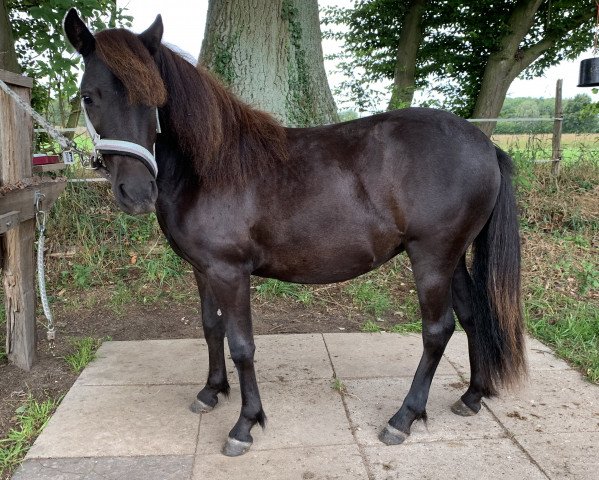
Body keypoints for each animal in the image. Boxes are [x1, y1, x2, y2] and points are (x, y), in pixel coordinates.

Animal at [63, 9, 528, 456]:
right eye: (88, 96)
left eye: (155, 98)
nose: (137, 193)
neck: (211, 167)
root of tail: (486, 145)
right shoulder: (203, 269)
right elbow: (211, 328)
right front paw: (212, 391)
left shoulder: (230, 272)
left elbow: (242, 345)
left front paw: (245, 424)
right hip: (454, 257)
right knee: (471, 315)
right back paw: (472, 396)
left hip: (432, 257)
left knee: (437, 330)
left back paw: (403, 418)